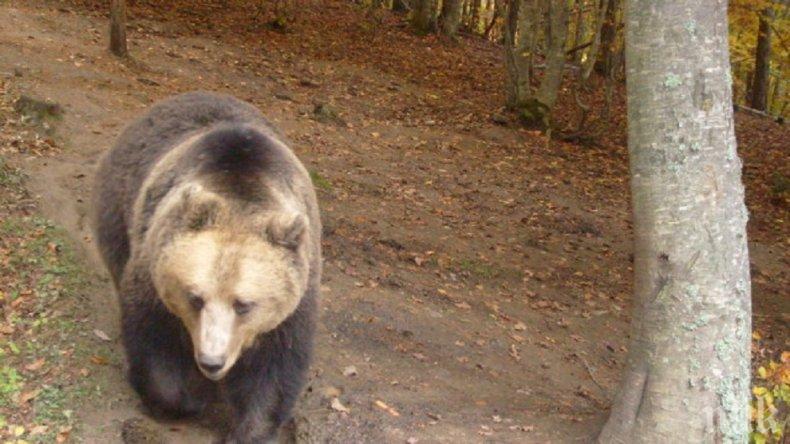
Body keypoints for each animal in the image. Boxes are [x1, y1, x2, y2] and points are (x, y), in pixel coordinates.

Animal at [94, 92, 324, 442]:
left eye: (244, 304)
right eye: (195, 298)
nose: (211, 361)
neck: (242, 192)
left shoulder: (295, 300)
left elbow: (275, 368)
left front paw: (250, 430)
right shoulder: (154, 271)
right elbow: (153, 340)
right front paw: (185, 400)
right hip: (120, 205)